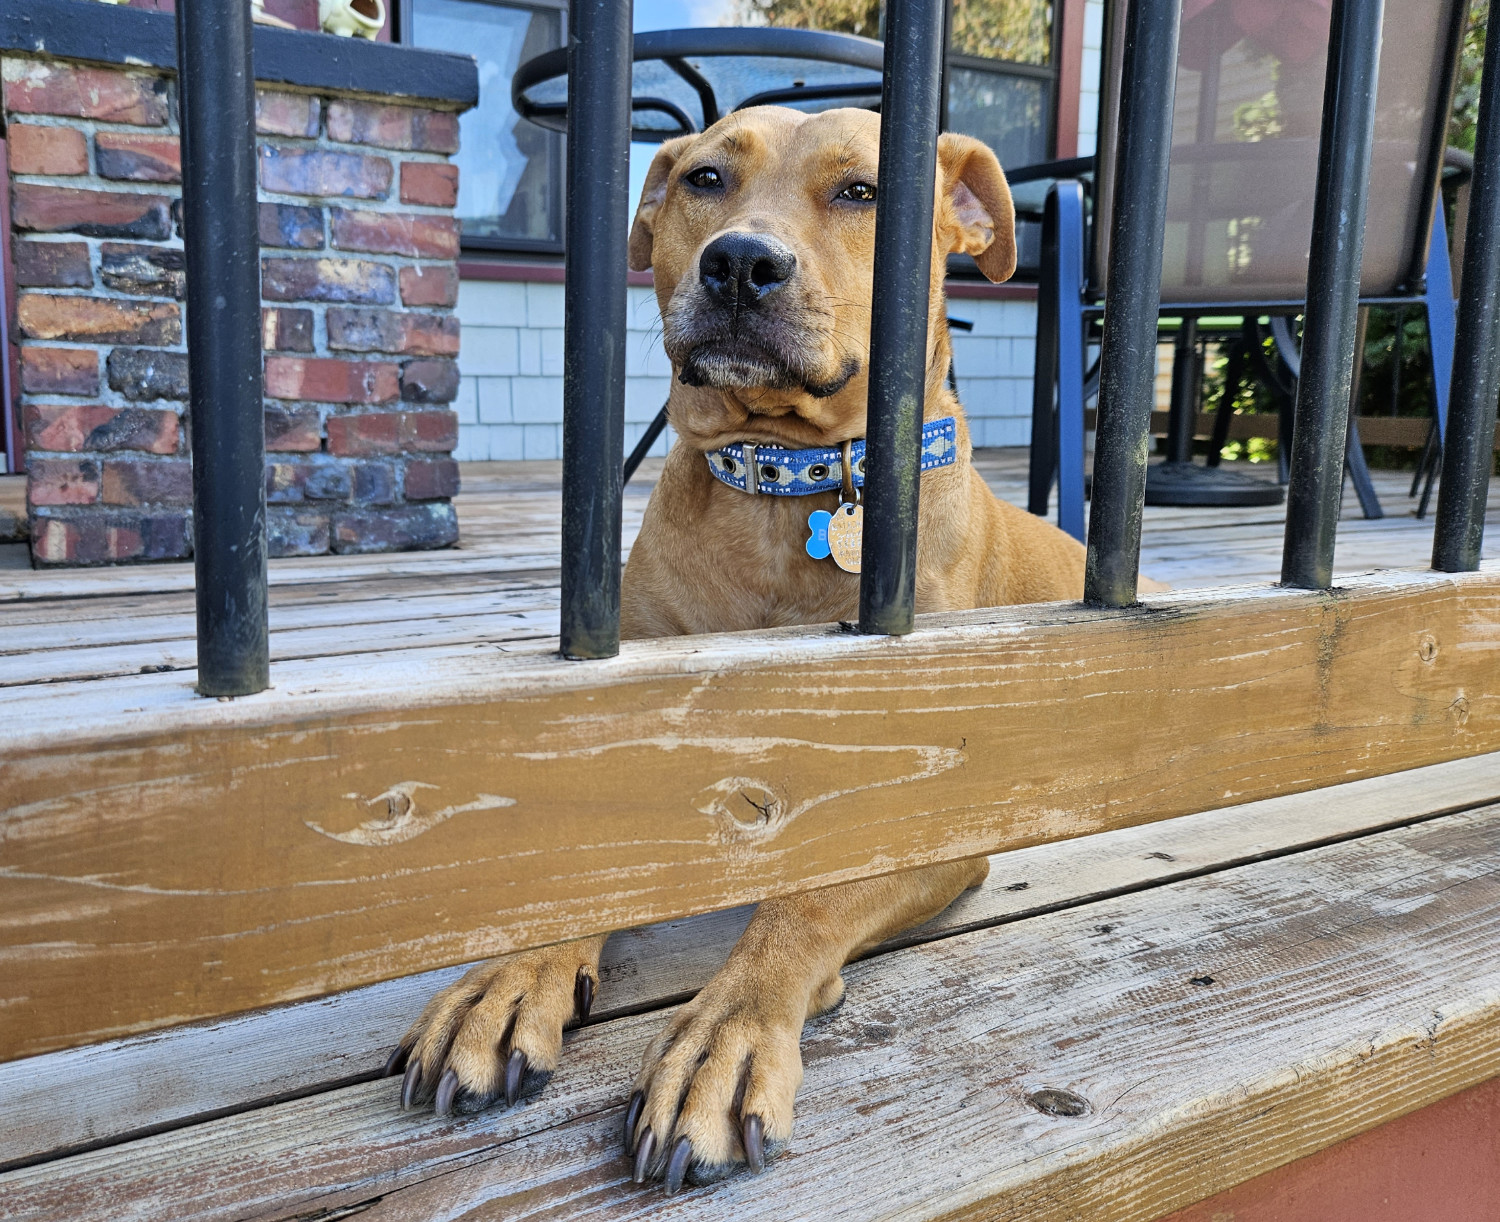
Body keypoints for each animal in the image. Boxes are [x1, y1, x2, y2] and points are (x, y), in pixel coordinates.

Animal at [387, 104, 1092, 1193]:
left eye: (863, 190)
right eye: (705, 179)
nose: (740, 263)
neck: (784, 479)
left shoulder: (928, 816)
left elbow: (804, 906)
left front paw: (726, 1037)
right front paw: (509, 978)